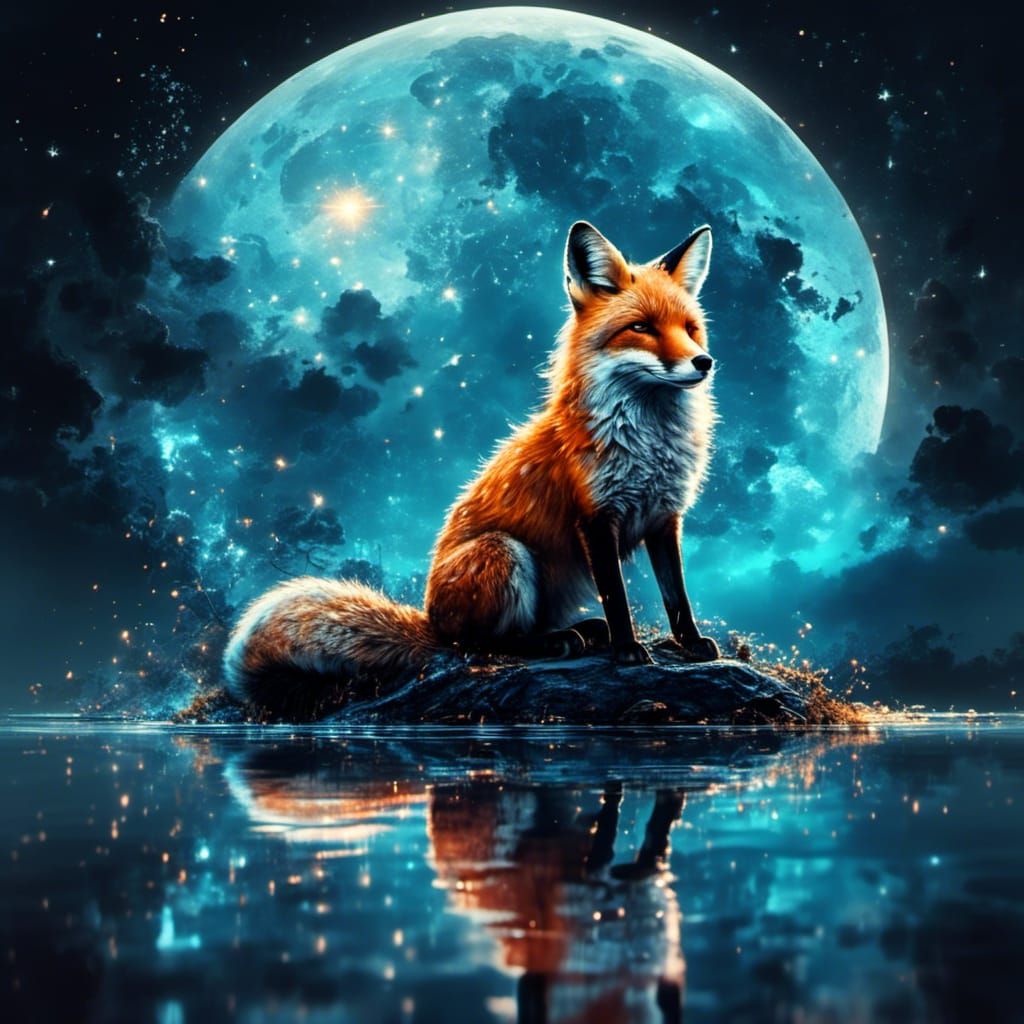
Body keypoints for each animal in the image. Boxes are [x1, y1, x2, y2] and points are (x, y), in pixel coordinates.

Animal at [224, 220, 721, 715]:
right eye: (641, 328)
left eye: (691, 329)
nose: (704, 362)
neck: (649, 443)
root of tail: (432, 621)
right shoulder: (595, 519)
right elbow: (617, 596)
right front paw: (628, 650)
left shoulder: (664, 516)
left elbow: (676, 594)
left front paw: (690, 644)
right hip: (503, 551)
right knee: (483, 646)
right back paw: (556, 642)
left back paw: (581, 632)